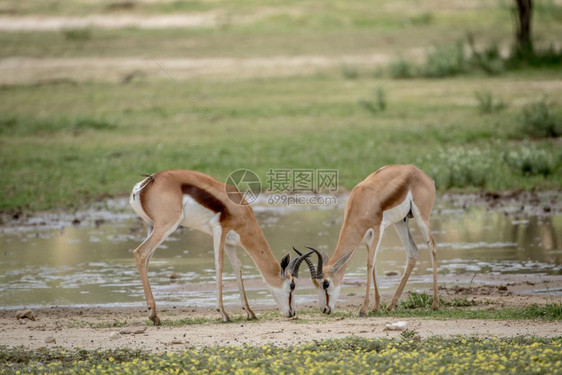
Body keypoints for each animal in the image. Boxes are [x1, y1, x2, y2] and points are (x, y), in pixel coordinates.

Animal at [129, 171, 310, 326]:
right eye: (292, 285)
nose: (292, 313)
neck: (239, 209)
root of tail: (147, 183)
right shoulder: (219, 231)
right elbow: (219, 265)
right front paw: (224, 314)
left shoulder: (230, 243)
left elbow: (237, 267)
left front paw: (249, 312)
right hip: (166, 226)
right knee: (140, 253)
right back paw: (153, 315)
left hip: (151, 226)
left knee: (146, 260)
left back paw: (154, 315)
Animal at [300, 166, 436, 316]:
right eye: (315, 285)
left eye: (326, 283)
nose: (325, 309)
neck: (362, 200)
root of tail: (419, 172)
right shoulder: (367, 237)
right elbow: (374, 265)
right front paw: (375, 307)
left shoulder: (377, 230)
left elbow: (370, 263)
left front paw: (363, 309)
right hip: (401, 221)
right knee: (412, 252)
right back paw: (390, 305)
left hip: (421, 218)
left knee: (432, 247)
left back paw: (435, 305)